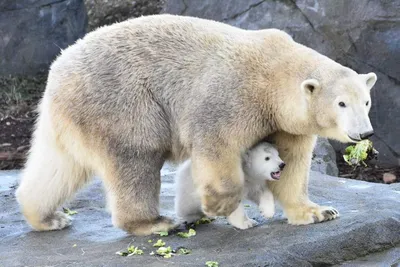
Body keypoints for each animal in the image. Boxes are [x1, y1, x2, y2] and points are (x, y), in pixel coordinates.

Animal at [17, 15, 376, 237]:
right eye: (341, 103)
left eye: (366, 101)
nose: (365, 133)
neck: (274, 75)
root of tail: (58, 69)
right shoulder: (234, 96)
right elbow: (217, 143)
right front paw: (218, 205)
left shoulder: (287, 121)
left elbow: (292, 161)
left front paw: (318, 212)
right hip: (121, 101)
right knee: (136, 156)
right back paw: (154, 222)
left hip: (73, 114)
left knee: (58, 165)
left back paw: (47, 217)